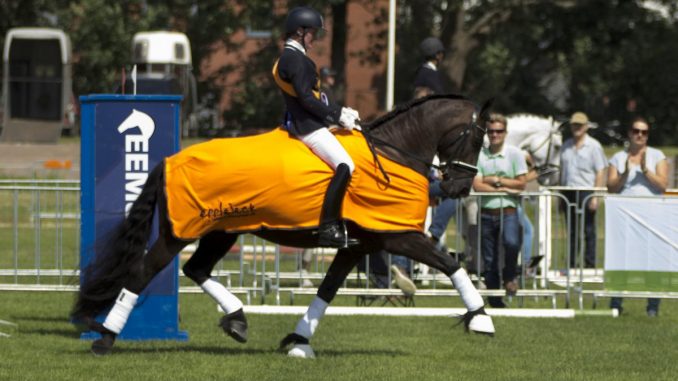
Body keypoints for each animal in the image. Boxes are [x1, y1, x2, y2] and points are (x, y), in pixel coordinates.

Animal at [71, 93, 494, 354]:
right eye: (477, 139)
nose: (459, 188)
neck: (392, 153)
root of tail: (170, 160)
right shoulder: (397, 237)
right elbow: (450, 264)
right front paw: (481, 320)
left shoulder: (360, 246)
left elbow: (327, 290)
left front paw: (298, 340)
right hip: (181, 233)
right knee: (143, 271)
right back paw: (105, 339)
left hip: (221, 232)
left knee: (196, 268)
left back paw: (237, 320)